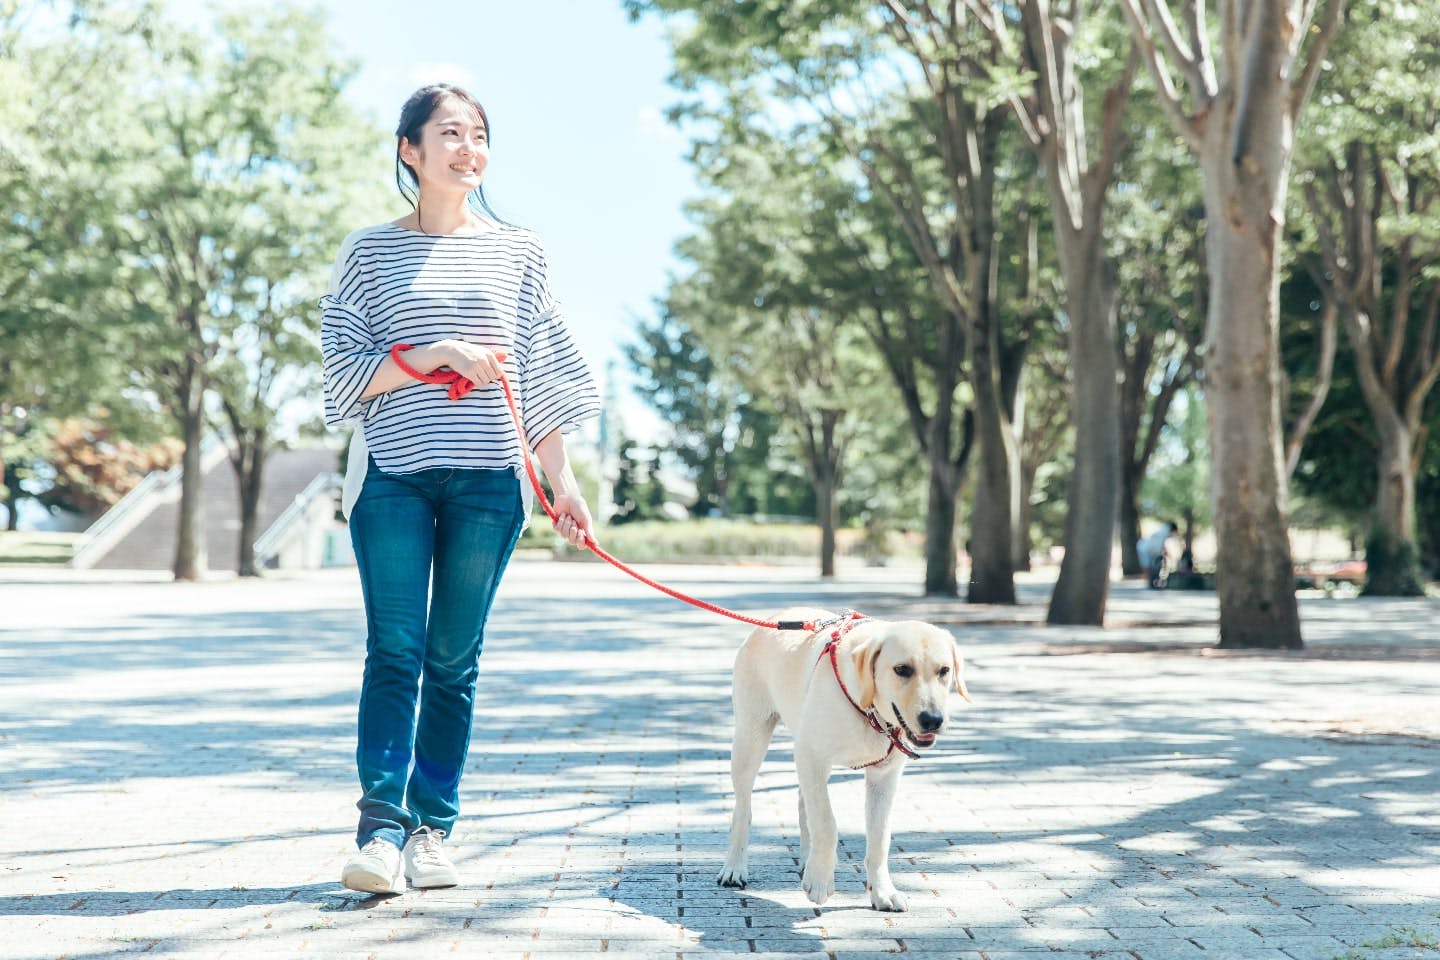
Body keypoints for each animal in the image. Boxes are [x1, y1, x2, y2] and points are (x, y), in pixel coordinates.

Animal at [717, 604, 973, 915]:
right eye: (902, 669)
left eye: (944, 671)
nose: (933, 720)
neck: (870, 711)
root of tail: (772, 618)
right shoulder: (812, 756)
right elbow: (827, 823)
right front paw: (820, 881)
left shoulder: (883, 777)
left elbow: (879, 837)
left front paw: (883, 892)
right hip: (750, 739)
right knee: (744, 809)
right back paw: (735, 867)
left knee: (804, 802)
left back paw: (807, 859)